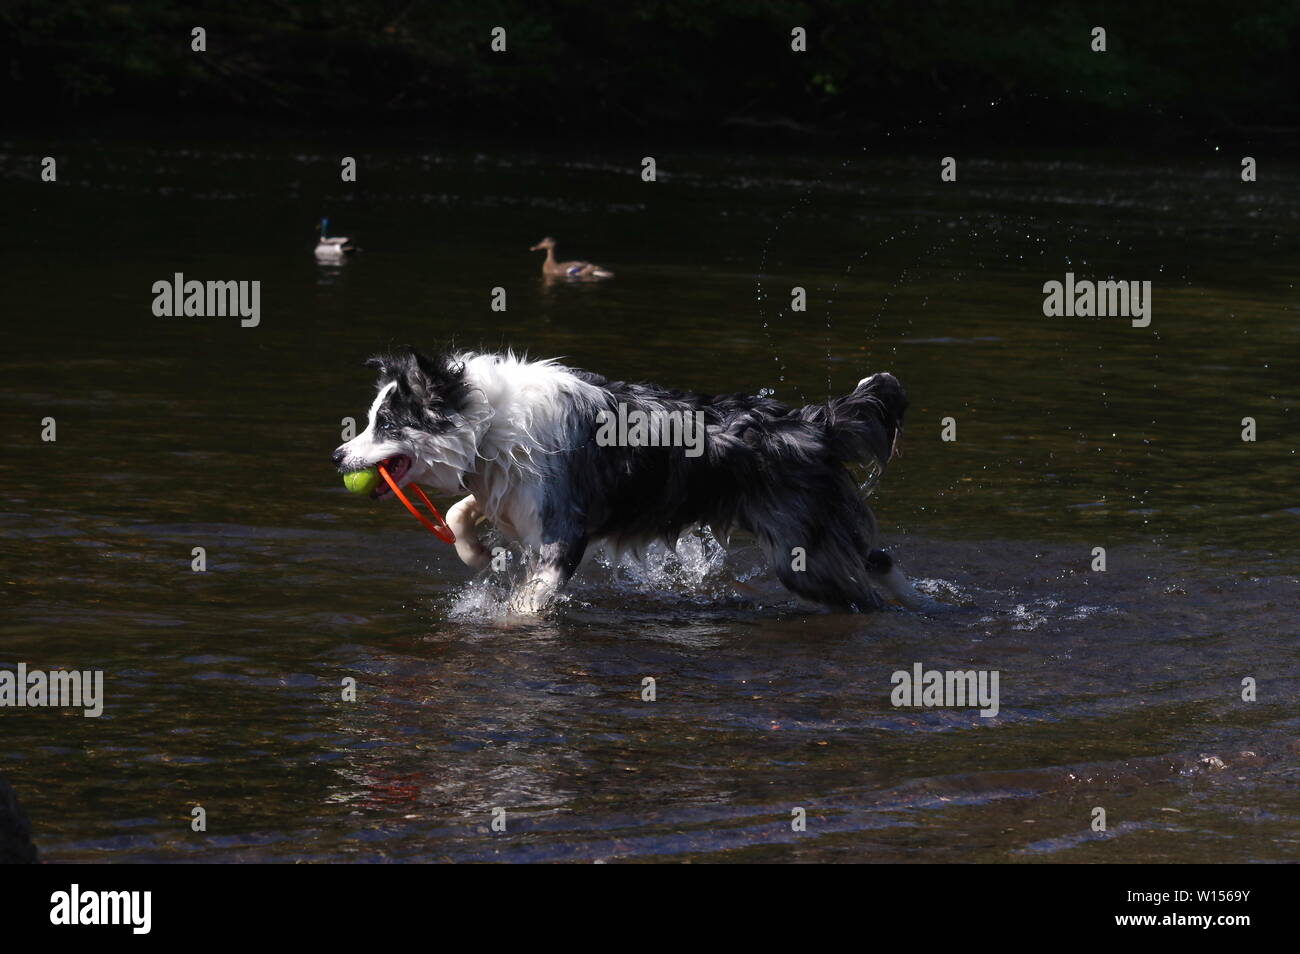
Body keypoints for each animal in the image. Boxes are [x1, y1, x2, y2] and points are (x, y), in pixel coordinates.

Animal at [330, 348, 930, 616]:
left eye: (386, 424)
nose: (338, 455)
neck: (490, 422)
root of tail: (811, 422)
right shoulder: (508, 490)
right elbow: (460, 513)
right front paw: (475, 554)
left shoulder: (563, 532)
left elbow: (529, 601)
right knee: (875, 557)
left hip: (800, 553)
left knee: (864, 584)